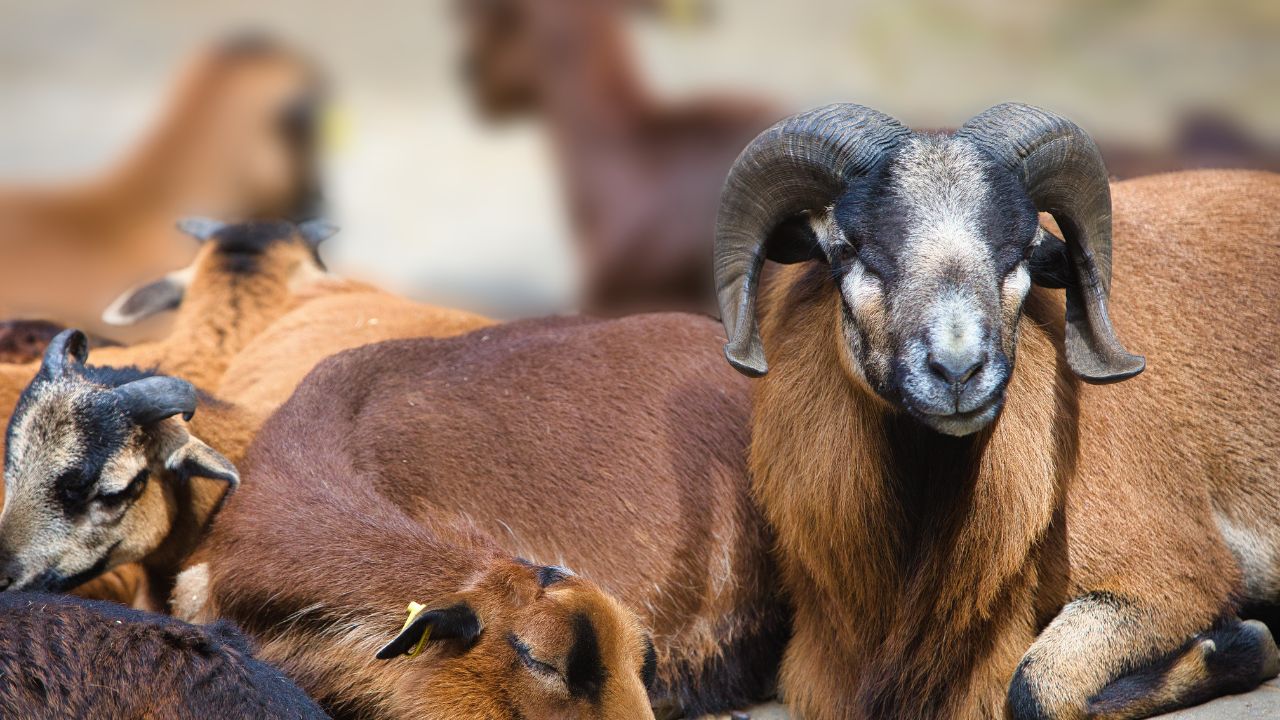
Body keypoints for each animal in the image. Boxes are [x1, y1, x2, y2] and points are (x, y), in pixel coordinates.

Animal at [713, 103, 1280, 719]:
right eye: (847, 250)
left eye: (1025, 250)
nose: (959, 371)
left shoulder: (1176, 577)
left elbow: (1037, 689)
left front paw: (1245, 643)